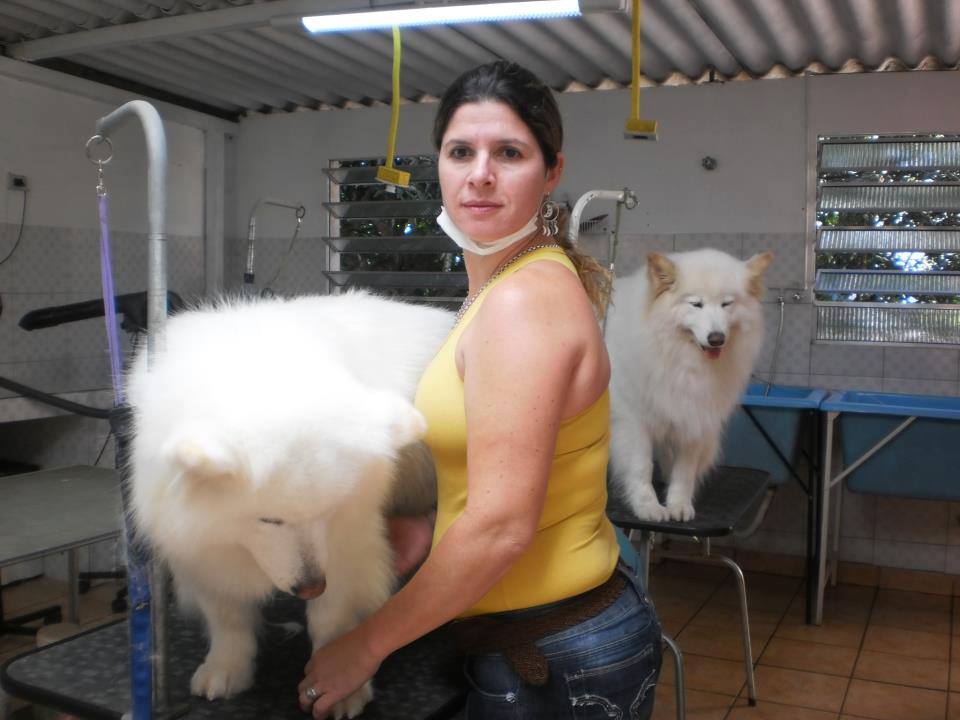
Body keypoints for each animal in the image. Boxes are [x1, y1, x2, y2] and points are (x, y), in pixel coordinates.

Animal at [125, 290, 452, 716]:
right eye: (270, 520)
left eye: (329, 511)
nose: (311, 587)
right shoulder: (201, 550)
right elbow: (228, 619)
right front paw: (226, 669)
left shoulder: (347, 546)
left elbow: (332, 621)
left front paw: (340, 685)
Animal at [608, 250, 772, 520]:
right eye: (696, 304)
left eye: (727, 304)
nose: (716, 339)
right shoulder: (633, 421)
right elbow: (641, 467)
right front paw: (648, 506)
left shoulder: (694, 417)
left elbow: (684, 471)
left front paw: (678, 505)